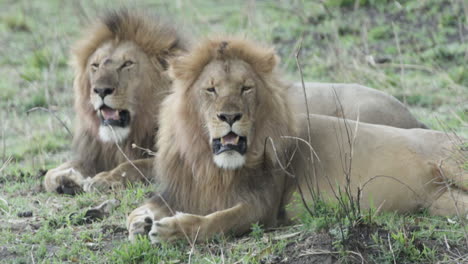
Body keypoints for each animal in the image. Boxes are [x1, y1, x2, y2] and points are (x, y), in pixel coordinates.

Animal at [43, 8, 189, 194]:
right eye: (95, 65)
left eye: (127, 64)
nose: (101, 90)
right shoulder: (98, 155)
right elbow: (50, 173)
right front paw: (65, 178)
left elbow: (134, 165)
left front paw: (104, 179)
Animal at [126, 36, 466, 243]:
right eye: (210, 89)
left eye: (246, 88)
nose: (230, 116)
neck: (213, 166)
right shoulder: (183, 189)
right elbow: (139, 209)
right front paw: (142, 221)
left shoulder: (263, 206)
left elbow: (218, 221)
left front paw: (171, 230)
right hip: (443, 203)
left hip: (452, 163)